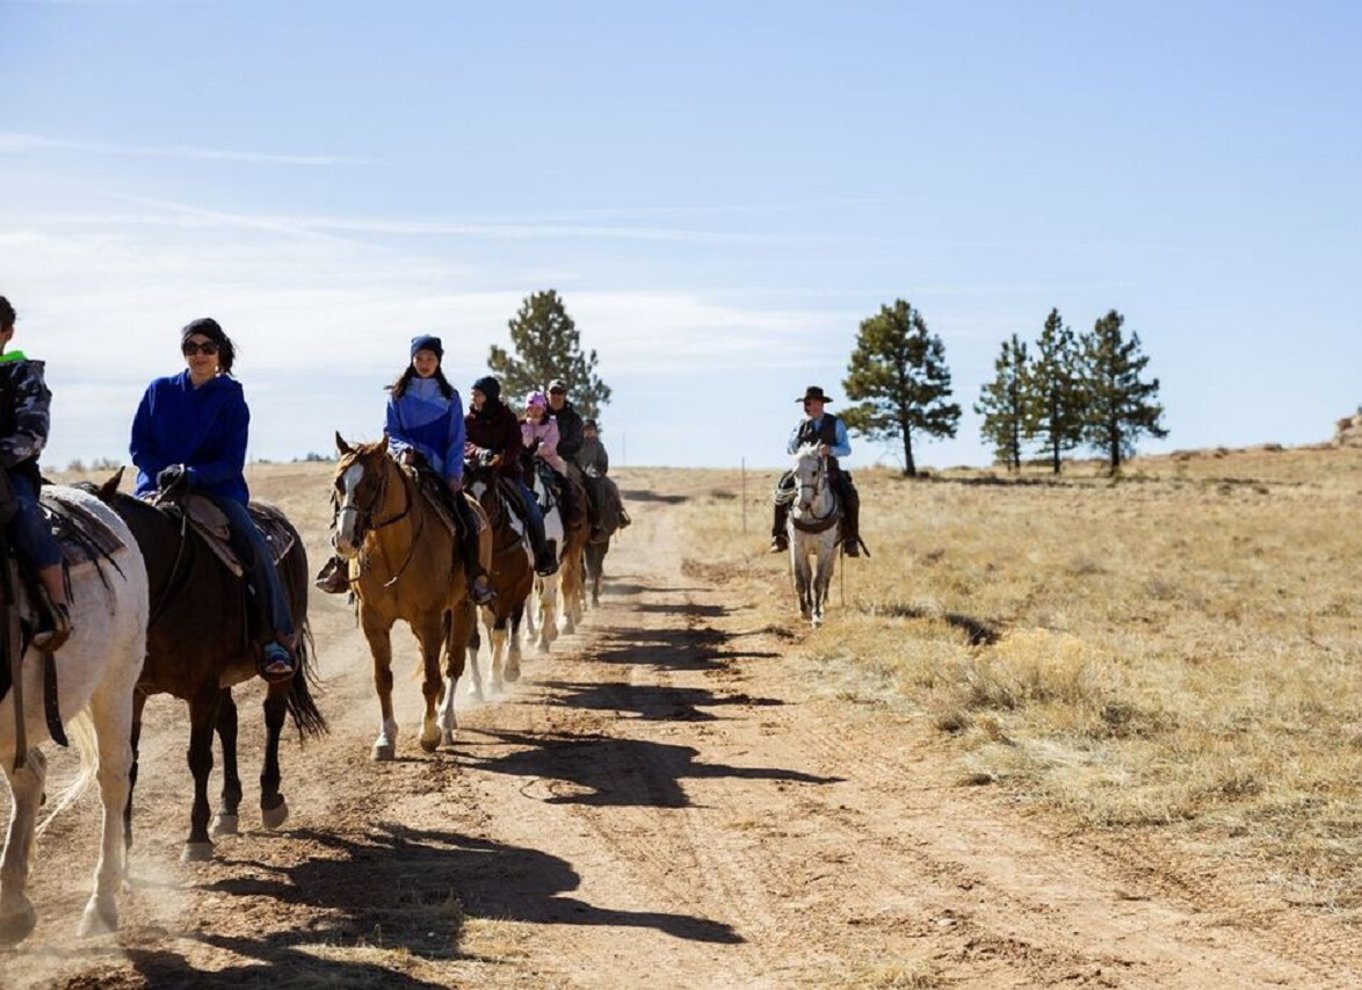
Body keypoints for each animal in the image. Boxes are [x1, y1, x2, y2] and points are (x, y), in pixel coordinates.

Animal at [88, 468, 326, 866]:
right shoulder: (134, 693)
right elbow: (129, 762)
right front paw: (124, 845)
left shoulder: (200, 692)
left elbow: (198, 758)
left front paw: (195, 838)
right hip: (222, 680)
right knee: (228, 724)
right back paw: (228, 809)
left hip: (280, 660)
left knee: (272, 716)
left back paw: (269, 800)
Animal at [332, 435, 487, 757]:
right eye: (339, 482)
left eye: (373, 482)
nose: (345, 540)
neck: (393, 550)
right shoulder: (373, 620)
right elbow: (383, 679)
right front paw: (385, 738)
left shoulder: (430, 618)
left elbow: (431, 678)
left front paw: (429, 733)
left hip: (463, 607)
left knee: (453, 664)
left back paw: (446, 721)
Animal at [465, 457, 533, 697]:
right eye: (466, 490)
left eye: (491, 493)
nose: (480, 526)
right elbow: (473, 638)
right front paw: (475, 686)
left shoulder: (508, 591)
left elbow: (500, 631)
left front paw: (495, 679)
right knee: (490, 623)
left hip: (522, 589)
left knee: (515, 621)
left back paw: (511, 665)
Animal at [789, 446, 838, 626]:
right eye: (795, 473)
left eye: (814, 472)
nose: (803, 504)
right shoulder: (797, 546)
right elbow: (801, 580)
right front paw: (804, 610)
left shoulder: (824, 549)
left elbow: (819, 581)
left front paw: (817, 614)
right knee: (808, 576)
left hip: (834, 550)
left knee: (828, 574)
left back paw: (823, 603)